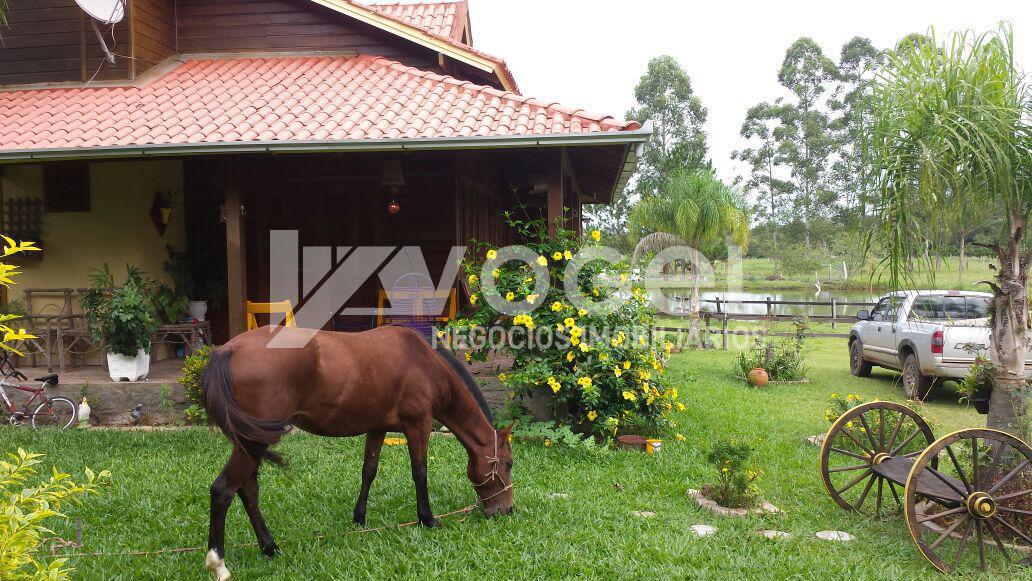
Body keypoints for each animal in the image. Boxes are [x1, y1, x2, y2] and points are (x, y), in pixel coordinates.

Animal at [200, 328, 511, 581]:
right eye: (508, 464)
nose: (507, 510)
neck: (424, 361)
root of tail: (228, 350)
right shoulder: (418, 425)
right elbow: (420, 472)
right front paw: (427, 519)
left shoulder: (377, 428)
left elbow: (368, 471)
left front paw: (359, 518)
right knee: (224, 489)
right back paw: (219, 564)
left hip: (253, 443)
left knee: (248, 489)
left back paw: (270, 547)